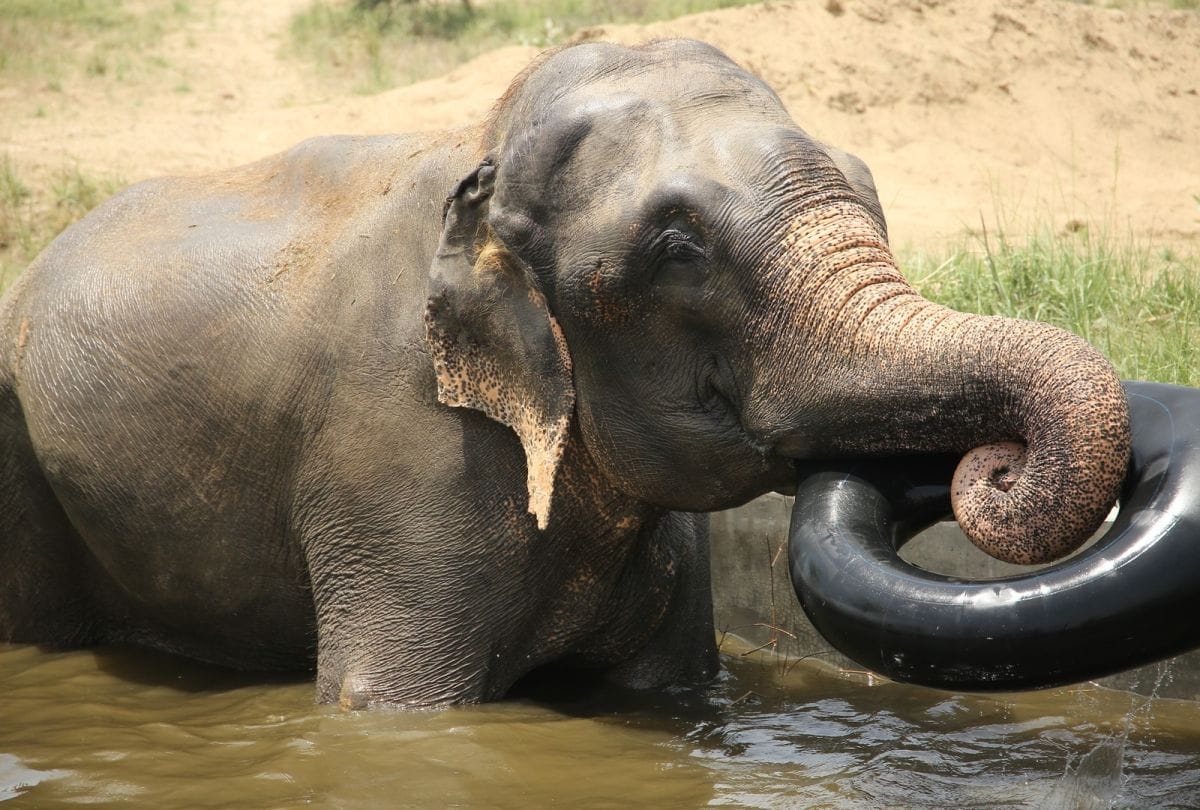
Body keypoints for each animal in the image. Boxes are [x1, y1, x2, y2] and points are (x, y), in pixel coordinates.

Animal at [0, 39, 1132, 709]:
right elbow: (385, 706)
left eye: (868, 187)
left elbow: (669, 687)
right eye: (678, 248)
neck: (485, 150)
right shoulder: (401, 456)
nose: (992, 466)